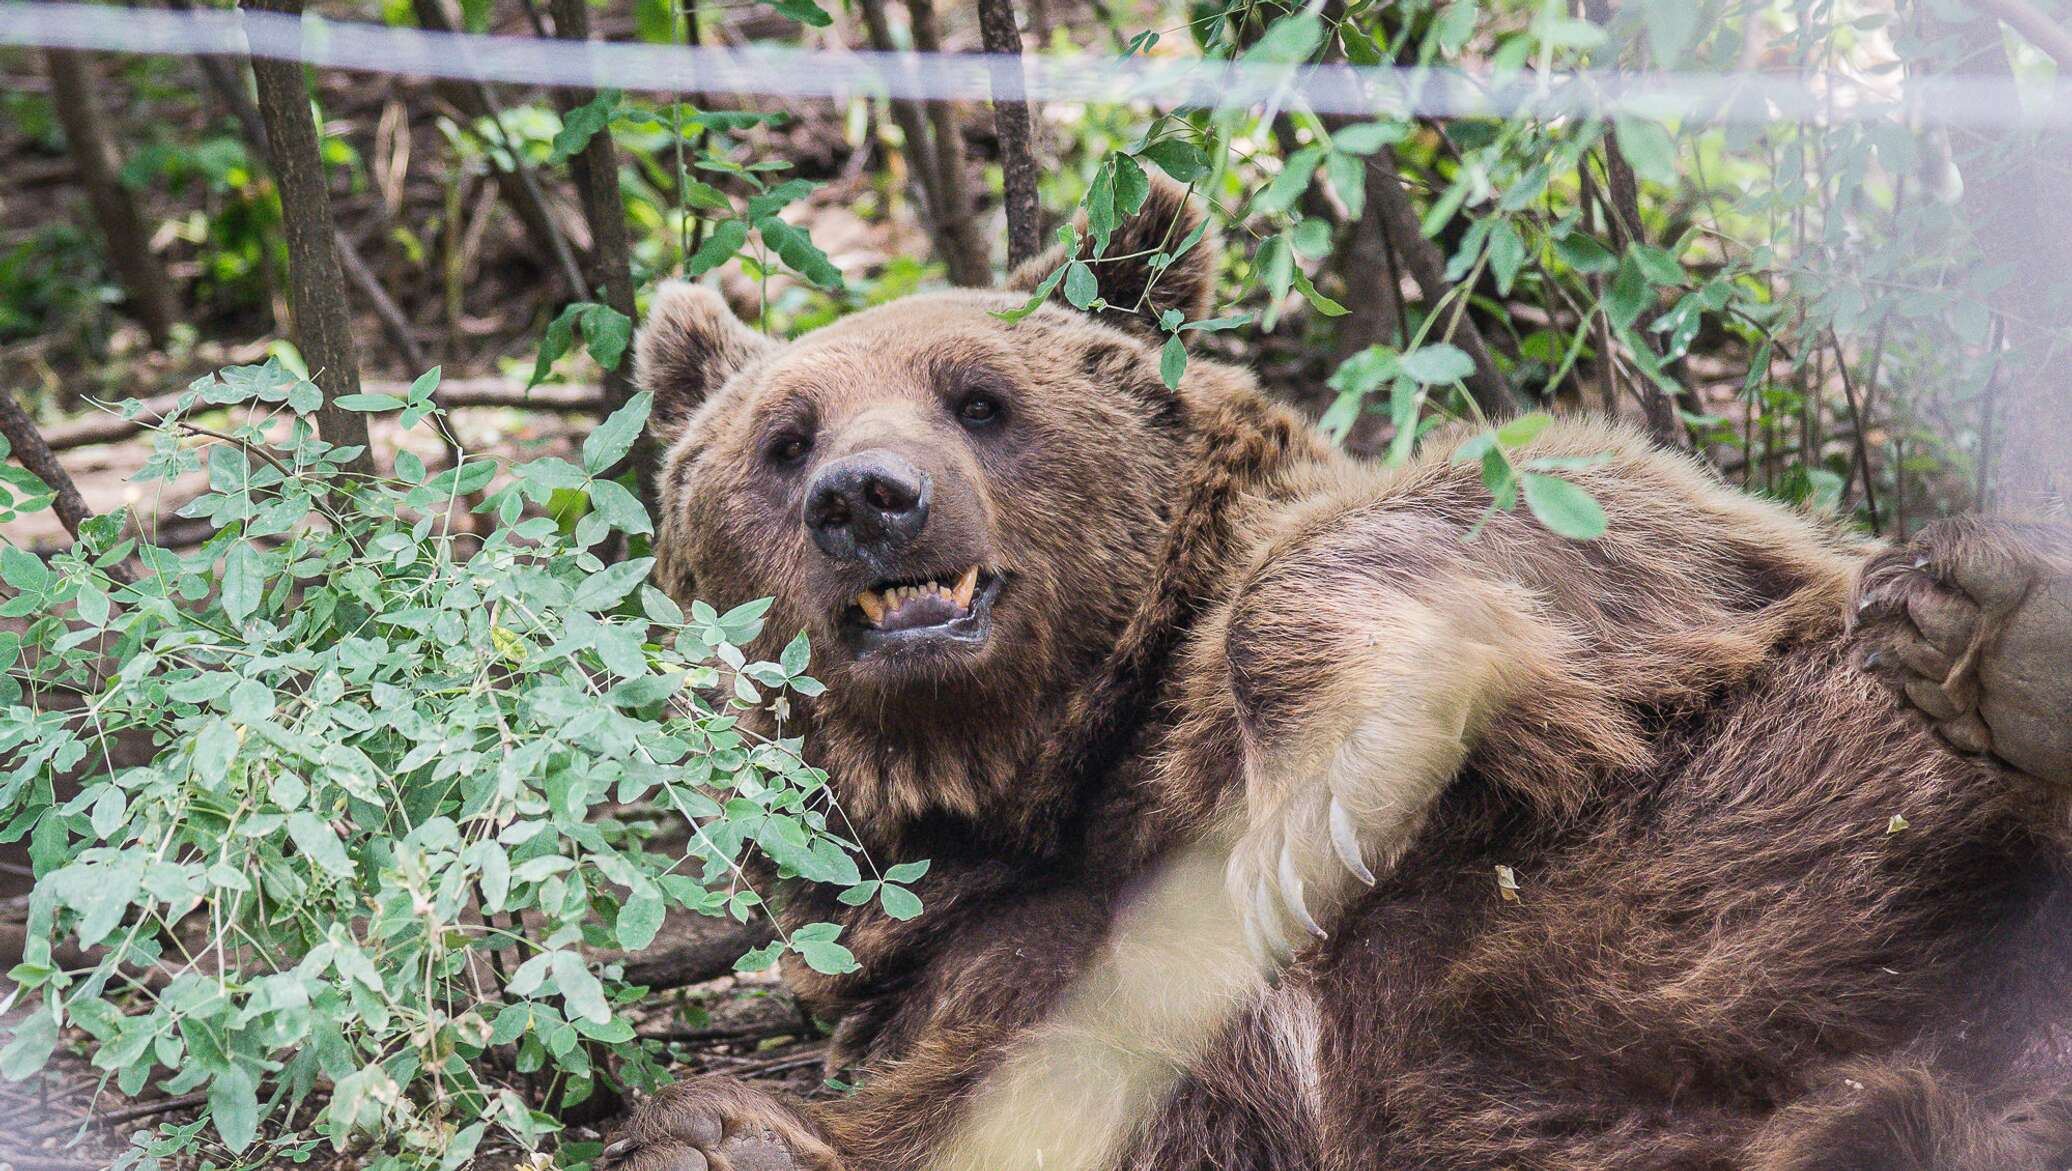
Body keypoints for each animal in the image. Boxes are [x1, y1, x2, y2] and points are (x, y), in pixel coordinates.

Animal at [600, 184, 2072, 1168]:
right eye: (784, 440)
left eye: (978, 397)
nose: (869, 498)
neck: (1068, 782)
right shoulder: (1017, 970)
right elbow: (982, 1098)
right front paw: (714, 1136)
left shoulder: (1685, 584)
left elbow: (1539, 511)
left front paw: (1321, 798)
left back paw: (2004, 641)